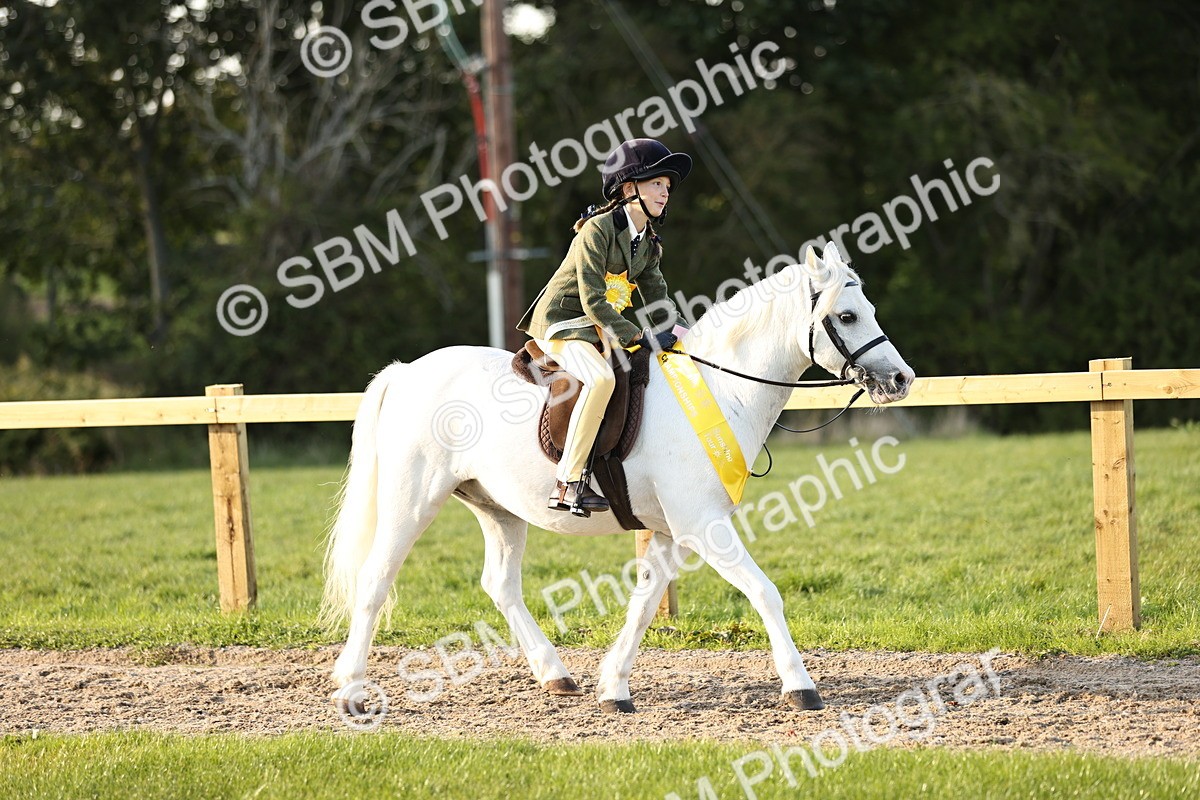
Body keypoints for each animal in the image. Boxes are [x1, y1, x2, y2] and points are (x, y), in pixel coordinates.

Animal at [321, 242, 915, 715]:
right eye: (847, 316)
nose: (901, 379)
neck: (721, 389)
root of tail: (407, 372)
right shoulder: (703, 525)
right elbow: (766, 593)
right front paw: (800, 686)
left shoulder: (675, 531)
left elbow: (646, 603)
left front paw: (614, 687)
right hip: (412, 501)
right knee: (375, 580)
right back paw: (351, 690)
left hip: (499, 509)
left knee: (501, 585)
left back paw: (555, 675)